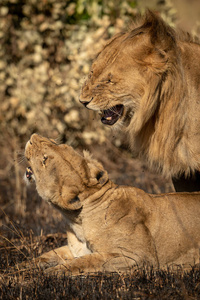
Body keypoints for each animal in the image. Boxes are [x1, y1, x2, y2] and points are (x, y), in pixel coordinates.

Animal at [23, 135, 200, 276]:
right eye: (57, 143)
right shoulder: (72, 249)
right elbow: (44, 256)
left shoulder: (138, 257)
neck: (78, 221)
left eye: (44, 159)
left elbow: (86, 262)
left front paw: (49, 273)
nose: (32, 137)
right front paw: (20, 269)